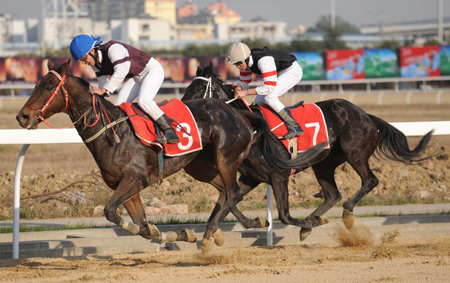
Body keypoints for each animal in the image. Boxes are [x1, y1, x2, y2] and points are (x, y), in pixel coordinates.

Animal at [14, 59, 324, 253]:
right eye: (37, 84)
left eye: (46, 86)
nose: (22, 116)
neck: (111, 132)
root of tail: (240, 113)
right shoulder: (129, 187)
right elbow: (140, 225)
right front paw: (174, 233)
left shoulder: (135, 180)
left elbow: (111, 212)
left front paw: (173, 233)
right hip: (201, 167)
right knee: (226, 192)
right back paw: (243, 225)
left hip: (226, 157)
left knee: (233, 191)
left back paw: (211, 234)